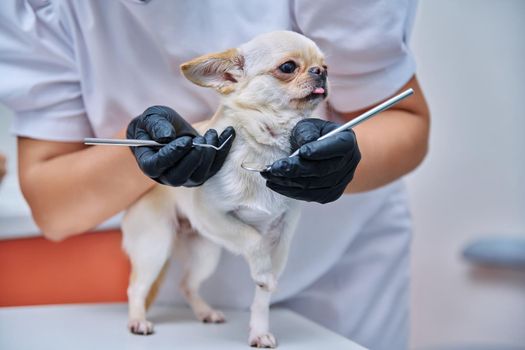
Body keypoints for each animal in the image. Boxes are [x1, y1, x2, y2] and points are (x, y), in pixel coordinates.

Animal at [123, 30, 328, 348]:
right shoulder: (212, 216)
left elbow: (263, 295)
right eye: (288, 67)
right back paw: (138, 321)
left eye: (325, 65)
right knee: (136, 288)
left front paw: (259, 331)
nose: (321, 72)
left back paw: (205, 312)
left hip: (205, 253)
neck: (266, 149)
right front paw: (261, 271)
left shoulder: (282, 235)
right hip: (154, 247)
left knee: (186, 285)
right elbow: (253, 241)